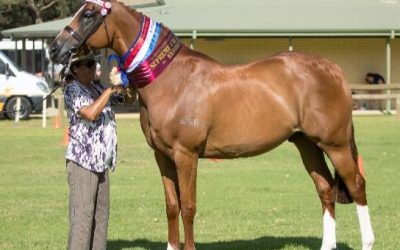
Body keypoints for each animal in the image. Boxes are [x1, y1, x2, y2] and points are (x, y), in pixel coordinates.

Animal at [50, 0, 376, 249]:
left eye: (89, 13)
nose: (55, 48)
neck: (172, 80)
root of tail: (333, 69)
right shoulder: (162, 156)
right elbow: (172, 206)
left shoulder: (186, 155)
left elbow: (188, 207)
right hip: (307, 144)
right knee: (325, 189)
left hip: (335, 145)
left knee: (357, 185)